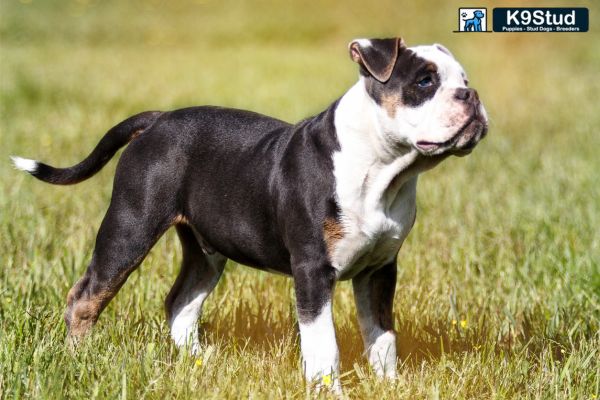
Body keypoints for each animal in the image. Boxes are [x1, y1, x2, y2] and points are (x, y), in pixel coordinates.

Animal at [11, 38, 488, 390]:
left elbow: (383, 336)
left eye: (463, 79)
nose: (472, 94)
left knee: (180, 302)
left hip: (205, 249)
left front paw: (391, 386)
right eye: (424, 81)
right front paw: (328, 390)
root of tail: (159, 120)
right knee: (86, 296)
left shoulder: (380, 270)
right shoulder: (313, 271)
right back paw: (78, 358)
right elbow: (324, 345)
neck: (381, 168)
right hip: (130, 227)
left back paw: (200, 363)